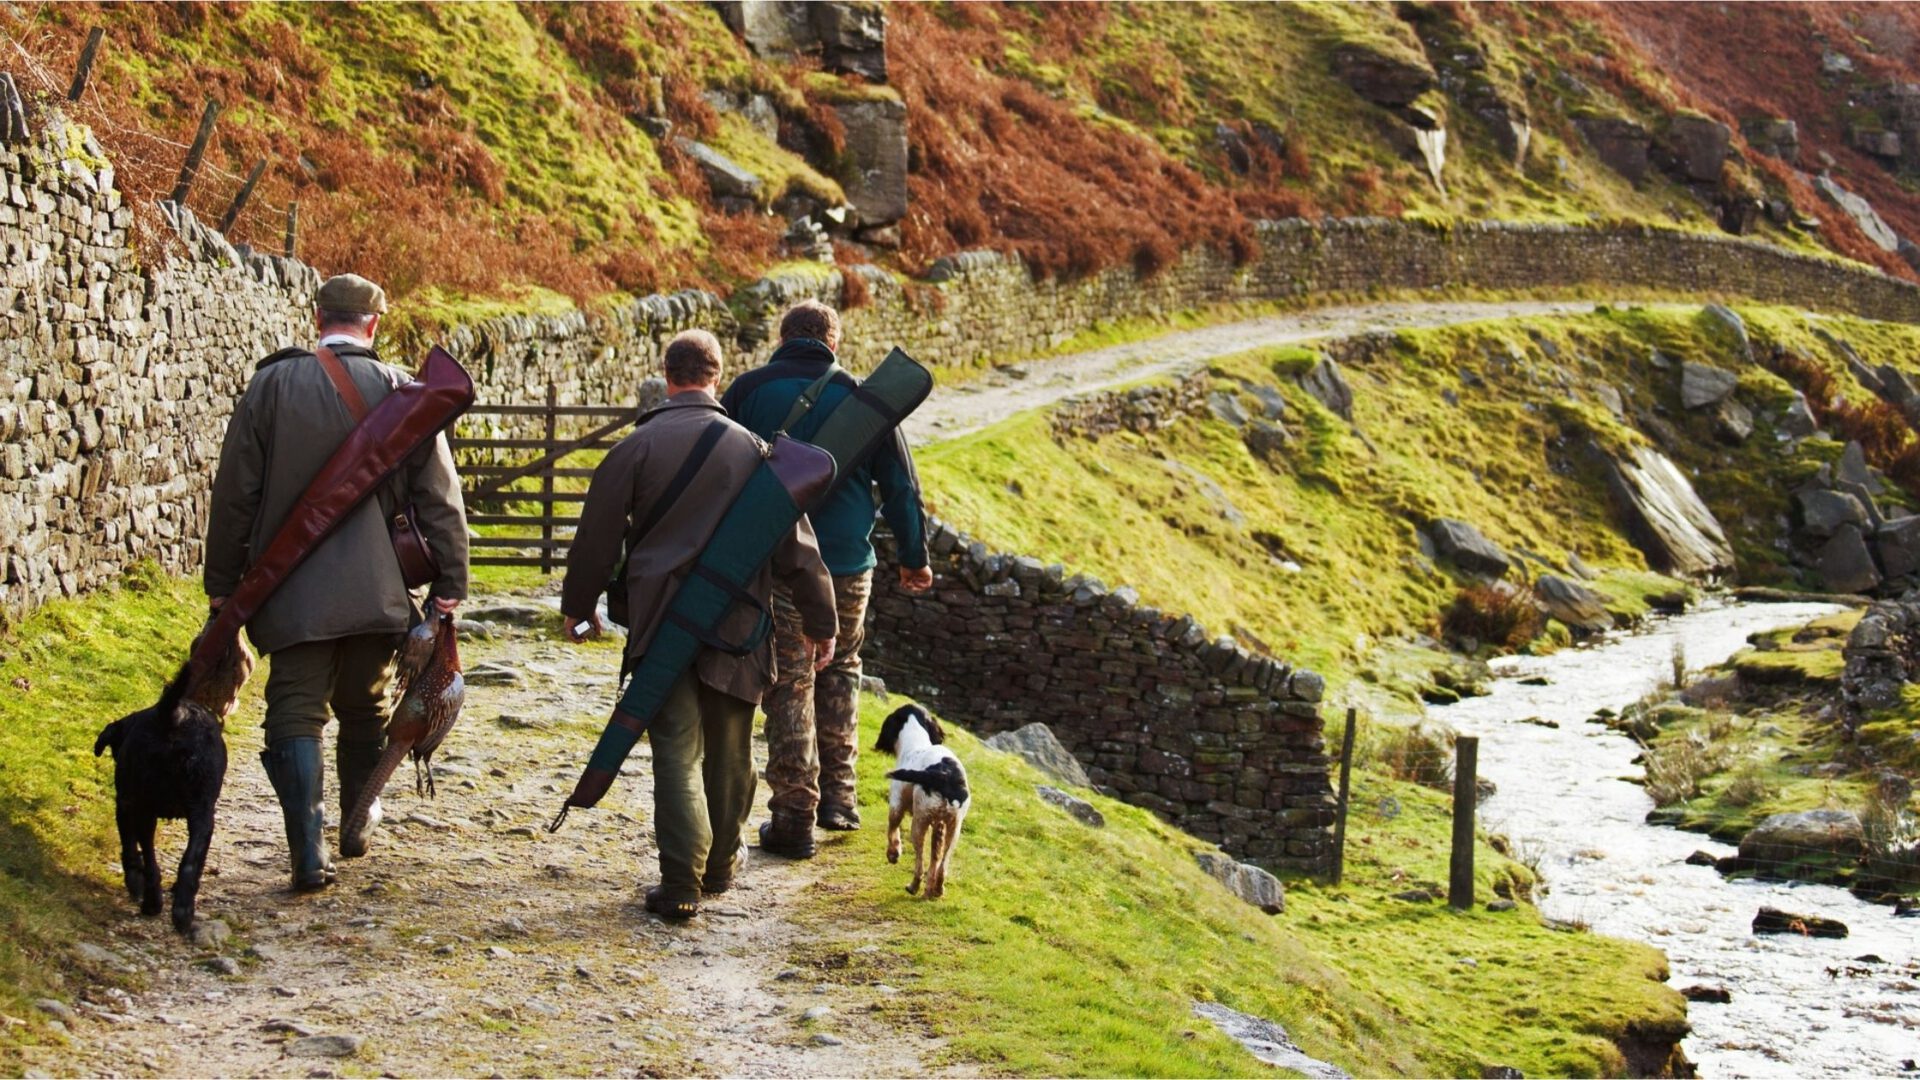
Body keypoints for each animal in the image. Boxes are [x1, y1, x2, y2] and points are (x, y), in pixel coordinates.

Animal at [91, 661, 224, 930]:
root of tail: (172, 716)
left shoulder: (124, 804)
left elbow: (129, 847)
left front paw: (133, 881)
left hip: (143, 806)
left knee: (151, 862)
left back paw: (151, 902)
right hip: (202, 813)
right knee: (189, 863)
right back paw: (183, 910)